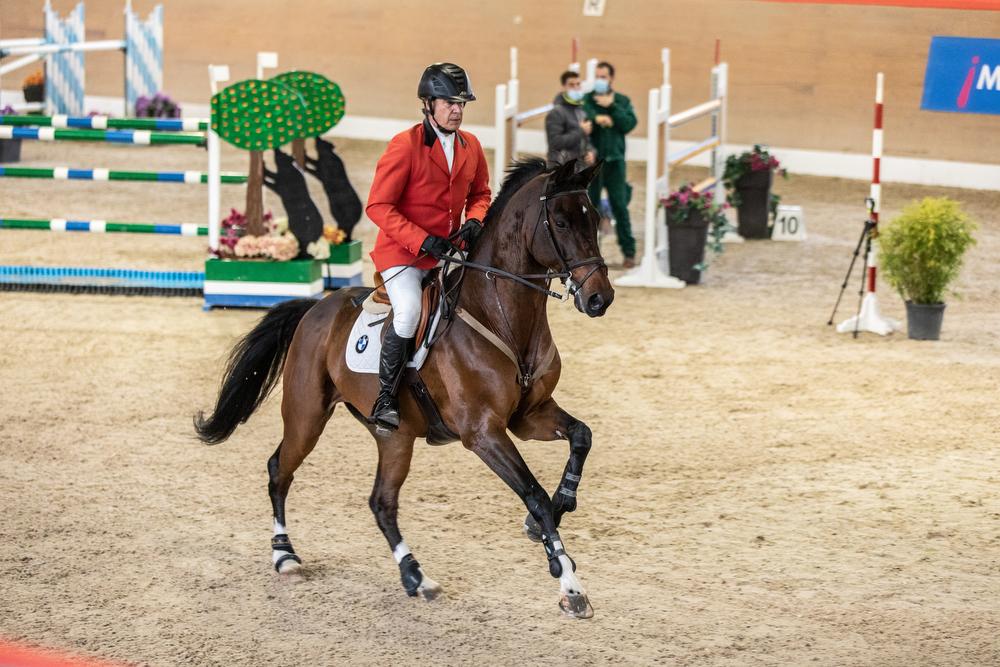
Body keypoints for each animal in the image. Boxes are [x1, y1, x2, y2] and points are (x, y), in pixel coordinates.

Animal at [194, 158, 612, 620]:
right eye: (561, 222)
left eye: (594, 219)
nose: (600, 299)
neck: (502, 315)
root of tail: (315, 308)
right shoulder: (484, 433)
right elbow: (533, 494)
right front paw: (569, 584)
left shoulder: (529, 415)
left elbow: (581, 437)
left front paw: (559, 509)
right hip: (306, 416)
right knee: (279, 470)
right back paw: (284, 554)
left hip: (394, 436)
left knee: (382, 502)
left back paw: (415, 576)